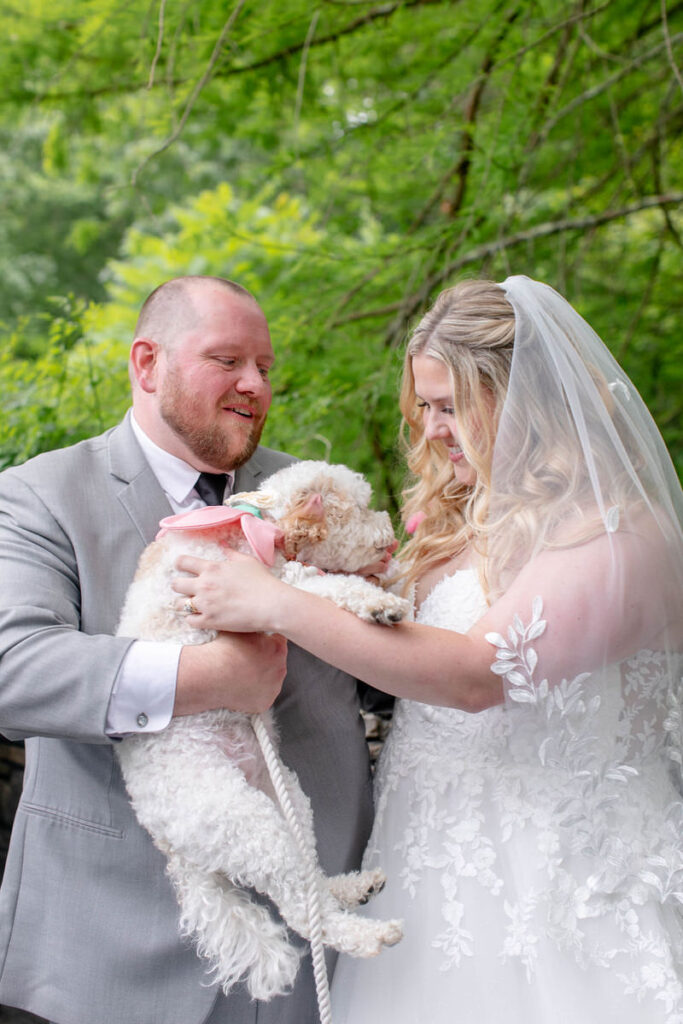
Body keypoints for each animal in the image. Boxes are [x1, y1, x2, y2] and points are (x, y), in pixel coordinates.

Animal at [114, 462, 409, 999]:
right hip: (246, 823)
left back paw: (353, 887)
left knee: (311, 883)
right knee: (301, 911)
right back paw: (369, 936)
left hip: (286, 797)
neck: (256, 522)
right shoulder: (271, 588)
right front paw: (381, 605)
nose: (392, 537)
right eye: (358, 509)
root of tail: (167, 842)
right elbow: (326, 588)